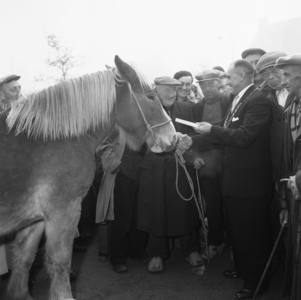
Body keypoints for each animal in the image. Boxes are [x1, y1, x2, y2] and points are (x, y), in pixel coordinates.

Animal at [0, 56, 177, 300]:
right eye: (151, 96)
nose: (173, 138)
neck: (54, 136)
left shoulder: (34, 221)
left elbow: (23, 263)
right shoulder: (64, 212)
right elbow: (61, 263)